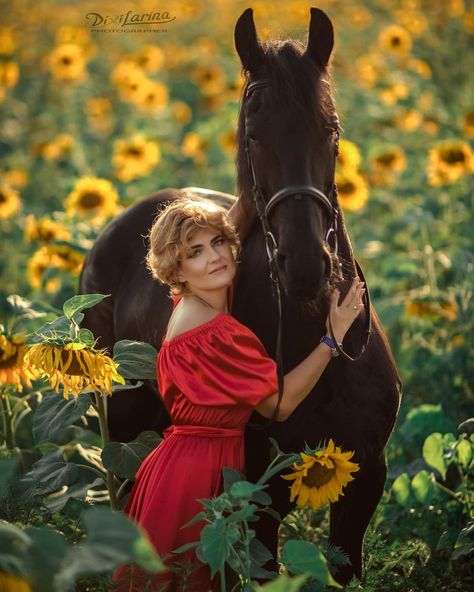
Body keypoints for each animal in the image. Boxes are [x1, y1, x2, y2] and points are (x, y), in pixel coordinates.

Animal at [79, 6, 402, 584]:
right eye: (253, 134)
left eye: (332, 131)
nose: (304, 266)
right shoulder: (258, 494)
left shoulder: (365, 478)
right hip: (122, 430)